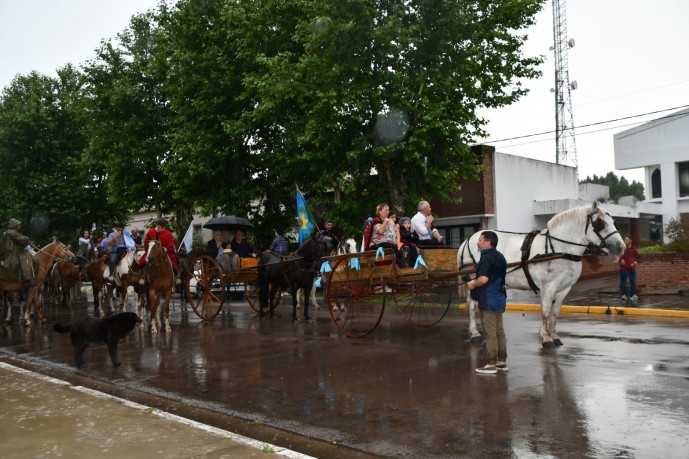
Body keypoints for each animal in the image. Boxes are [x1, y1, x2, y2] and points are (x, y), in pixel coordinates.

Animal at [456, 202, 624, 348]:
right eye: (600, 224)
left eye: (614, 222)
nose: (621, 247)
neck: (560, 249)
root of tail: (468, 239)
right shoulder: (548, 286)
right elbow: (545, 311)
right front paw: (545, 338)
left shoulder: (565, 288)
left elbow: (555, 313)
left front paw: (554, 336)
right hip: (476, 278)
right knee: (472, 304)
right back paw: (475, 333)